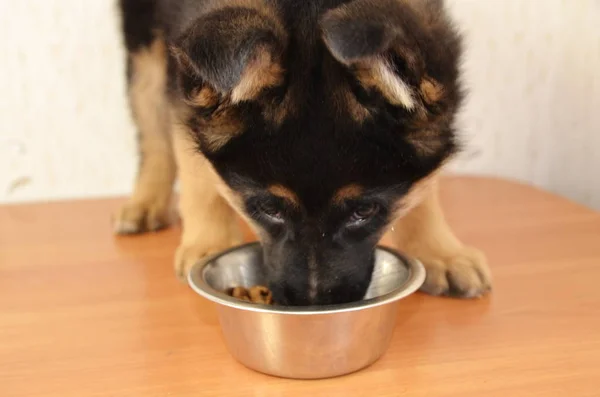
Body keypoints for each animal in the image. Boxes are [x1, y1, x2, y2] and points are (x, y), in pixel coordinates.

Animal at [115, 0, 490, 304]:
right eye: (269, 208)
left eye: (365, 210)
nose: (314, 306)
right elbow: (196, 168)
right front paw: (211, 243)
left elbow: (424, 186)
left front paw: (439, 250)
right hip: (144, 36)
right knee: (150, 118)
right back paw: (146, 203)